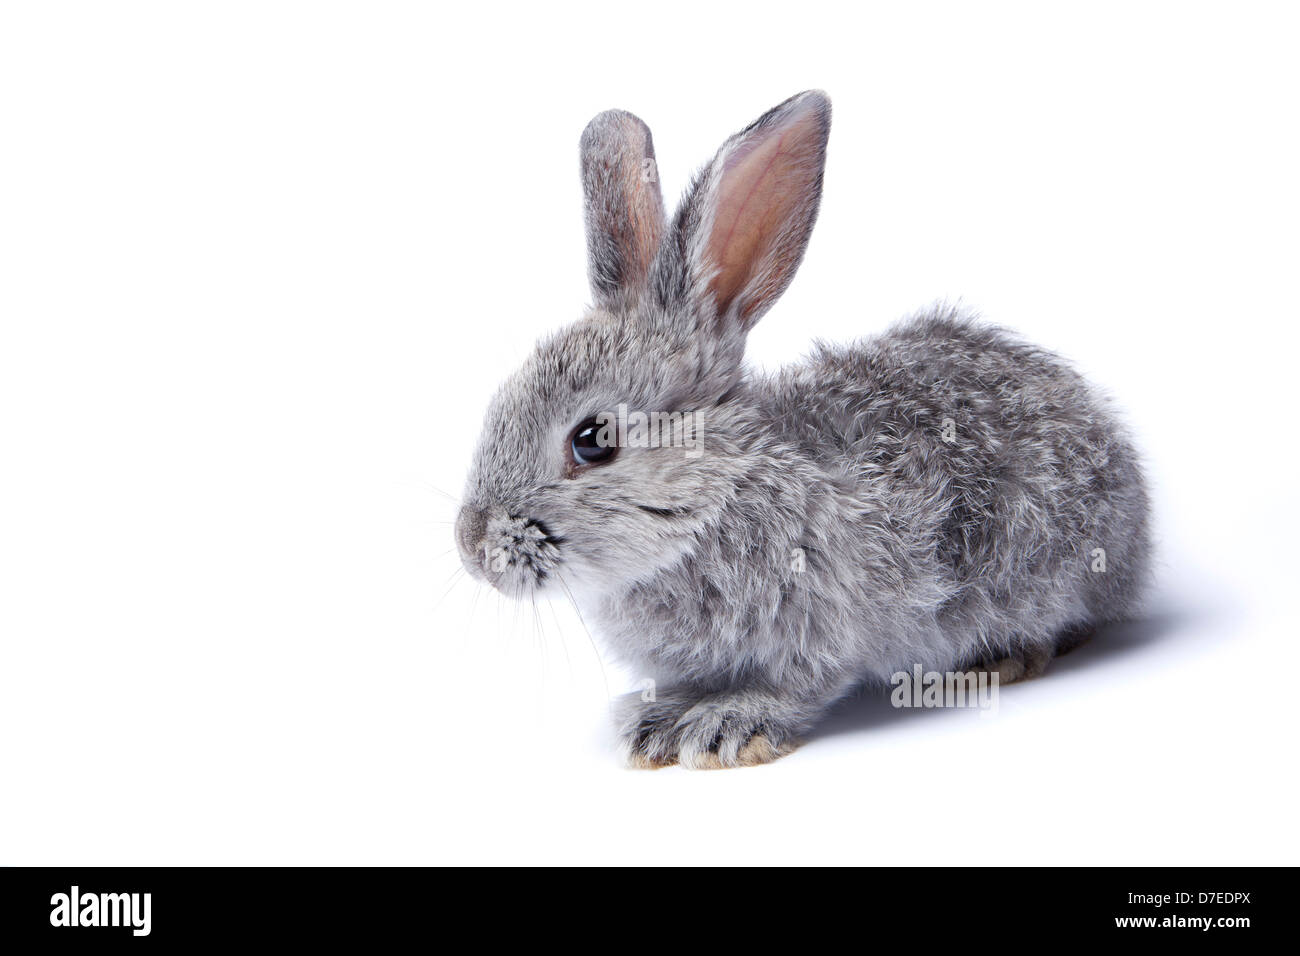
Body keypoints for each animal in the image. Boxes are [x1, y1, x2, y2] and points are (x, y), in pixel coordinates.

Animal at [454, 93, 1149, 770]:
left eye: (592, 441)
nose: (472, 547)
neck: (717, 496)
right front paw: (654, 725)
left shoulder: (825, 627)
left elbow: (797, 686)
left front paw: (725, 727)